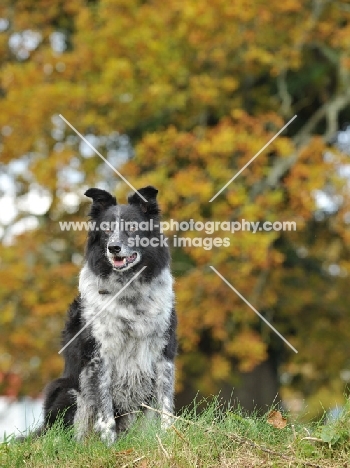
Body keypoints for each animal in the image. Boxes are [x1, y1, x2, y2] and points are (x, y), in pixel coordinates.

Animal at [38, 186, 176, 442]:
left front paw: (168, 437)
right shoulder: (99, 357)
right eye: (107, 230)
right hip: (68, 390)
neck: (129, 291)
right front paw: (110, 445)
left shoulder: (164, 352)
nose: (114, 248)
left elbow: (165, 402)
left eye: (132, 227)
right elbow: (105, 410)